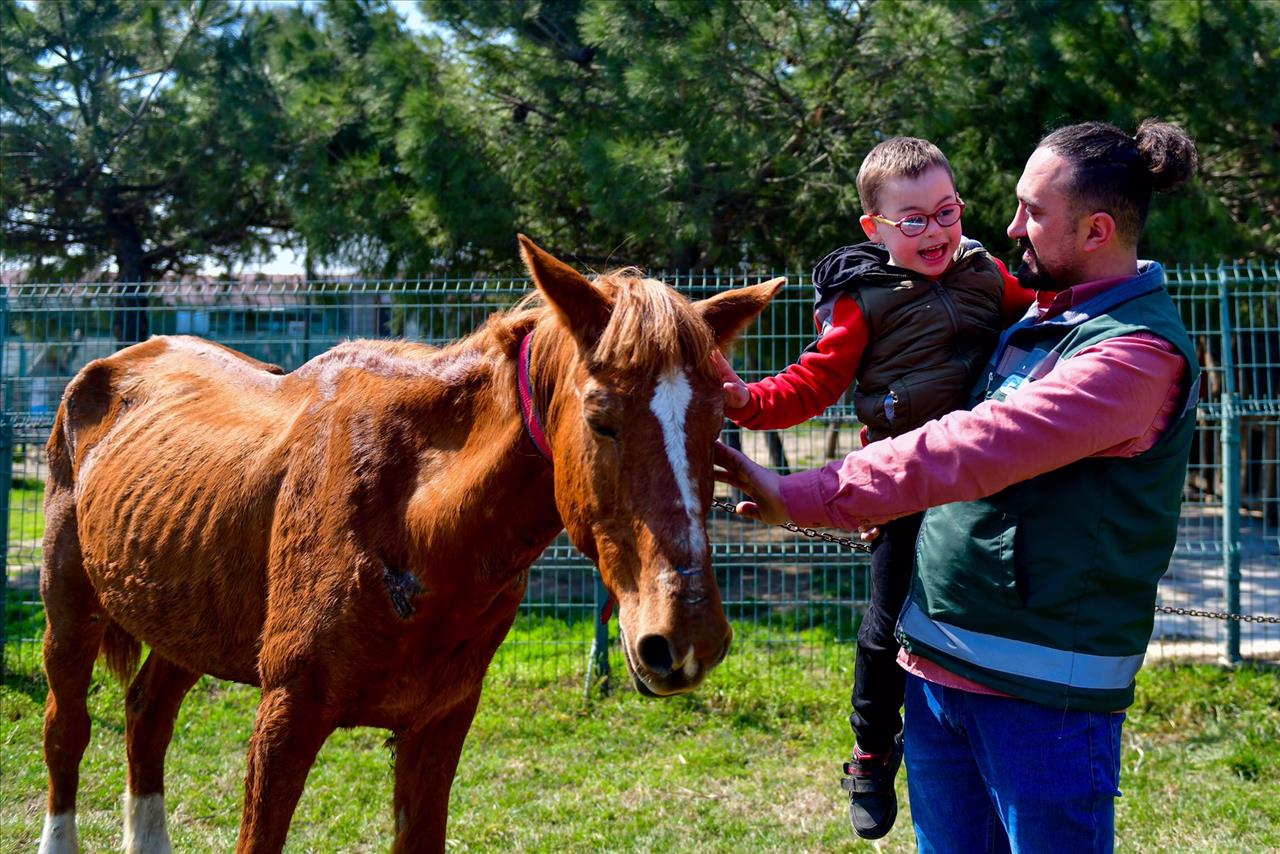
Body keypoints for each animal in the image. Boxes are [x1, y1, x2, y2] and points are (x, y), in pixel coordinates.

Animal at [37, 235, 778, 854]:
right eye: (602, 419)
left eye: (719, 423)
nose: (686, 638)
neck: (415, 520)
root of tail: (111, 363)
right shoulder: (286, 715)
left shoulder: (439, 722)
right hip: (69, 610)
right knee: (66, 731)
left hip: (185, 617)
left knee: (146, 716)